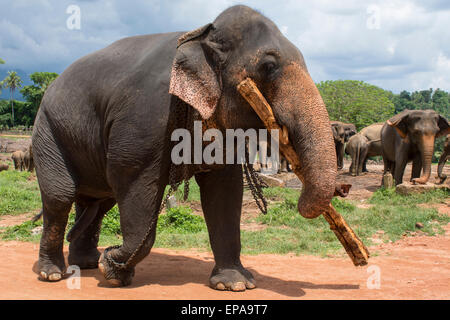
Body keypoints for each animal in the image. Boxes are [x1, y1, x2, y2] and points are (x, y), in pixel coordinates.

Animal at [32, 5, 338, 290]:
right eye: (269, 66)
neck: (202, 34)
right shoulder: (146, 115)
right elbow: (132, 179)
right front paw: (114, 267)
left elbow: (225, 189)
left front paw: (235, 284)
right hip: (48, 130)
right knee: (61, 195)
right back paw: (53, 273)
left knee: (98, 201)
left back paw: (86, 263)